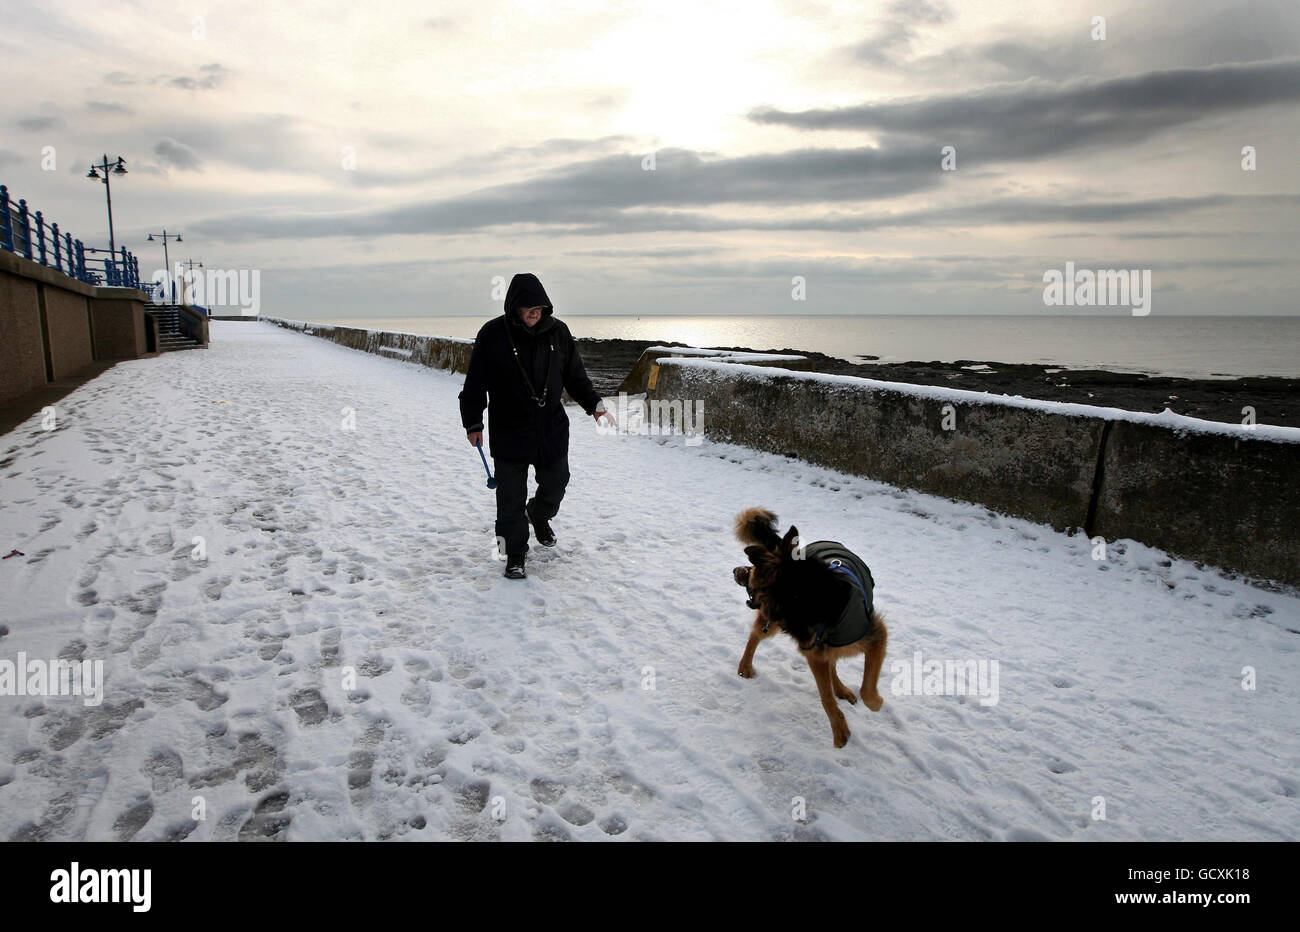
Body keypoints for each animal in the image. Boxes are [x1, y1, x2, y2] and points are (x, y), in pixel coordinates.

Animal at [733, 504, 883, 743]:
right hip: (774, 627)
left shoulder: (874, 635)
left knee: (832, 662)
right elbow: (825, 696)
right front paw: (840, 731)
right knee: (756, 635)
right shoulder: (813, 652)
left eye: (752, 570)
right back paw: (745, 666)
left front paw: (875, 703)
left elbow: (865, 687)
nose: (736, 571)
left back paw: (840, 688)